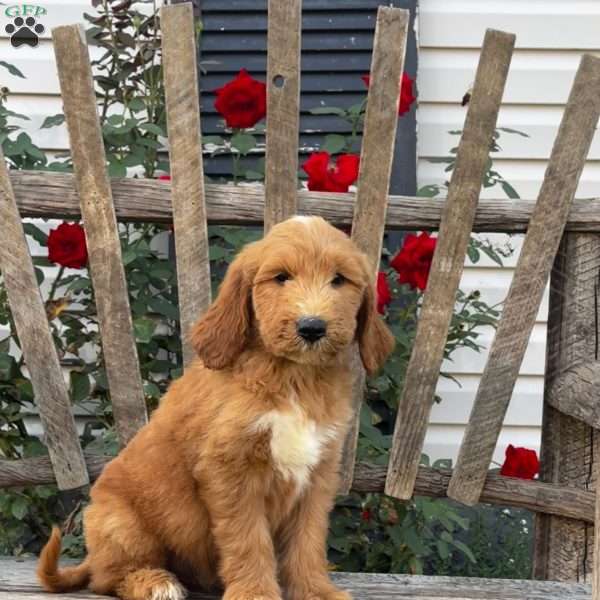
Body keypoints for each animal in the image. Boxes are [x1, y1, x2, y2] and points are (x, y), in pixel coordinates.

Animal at [36, 216, 394, 600]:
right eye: (281, 277)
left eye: (339, 279)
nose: (311, 327)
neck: (293, 379)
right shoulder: (231, 471)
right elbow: (248, 540)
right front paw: (255, 593)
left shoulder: (317, 475)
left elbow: (307, 540)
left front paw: (315, 590)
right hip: (123, 523)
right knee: (108, 578)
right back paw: (154, 582)